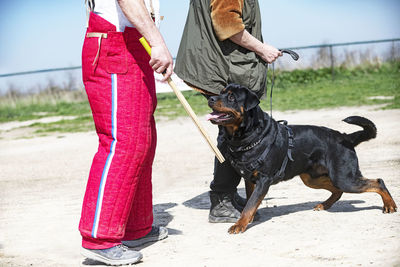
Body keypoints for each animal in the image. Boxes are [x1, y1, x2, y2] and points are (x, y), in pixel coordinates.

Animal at [206, 84, 396, 234]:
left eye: (231, 97)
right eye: (221, 92)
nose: (211, 98)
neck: (250, 135)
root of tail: (345, 137)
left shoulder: (263, 180)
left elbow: (250, 204)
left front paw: (239, 225)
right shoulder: (250, 179)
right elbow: (250, 202)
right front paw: (249, 219)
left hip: (343, 177)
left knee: (378, 182)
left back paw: (389, 205)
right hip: (312, 178)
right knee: (337, 190)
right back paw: (324, 205)